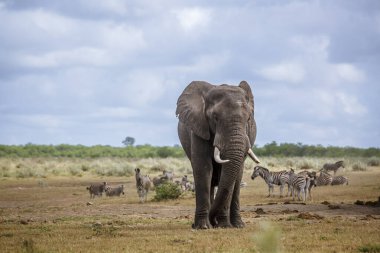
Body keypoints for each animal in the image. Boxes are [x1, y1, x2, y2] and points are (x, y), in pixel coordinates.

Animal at [176, 81, 260, 229]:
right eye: (215, 118)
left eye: (249, 118)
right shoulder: (199, 127)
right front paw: (203, 227)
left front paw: (224, 226)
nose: (213, 220)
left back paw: (238, 225)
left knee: (236, 181)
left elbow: (226, 176)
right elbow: (203, 168)